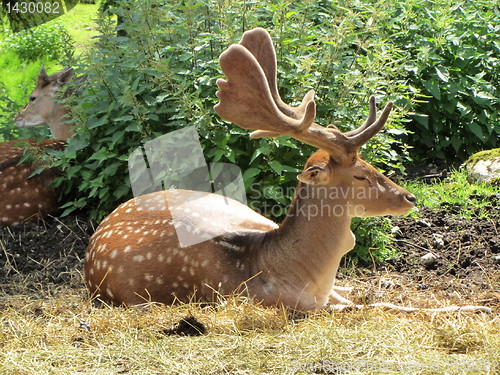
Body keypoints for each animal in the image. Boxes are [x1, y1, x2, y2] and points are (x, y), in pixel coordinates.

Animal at [84, 30, 490, 314]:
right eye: (359, 176)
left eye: (371, 165)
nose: (409, 197)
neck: (303, 278)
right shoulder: (292, 306)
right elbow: (372, 307)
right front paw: (473, 307)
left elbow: (369, 299)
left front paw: (472, 305)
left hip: (236, 209)